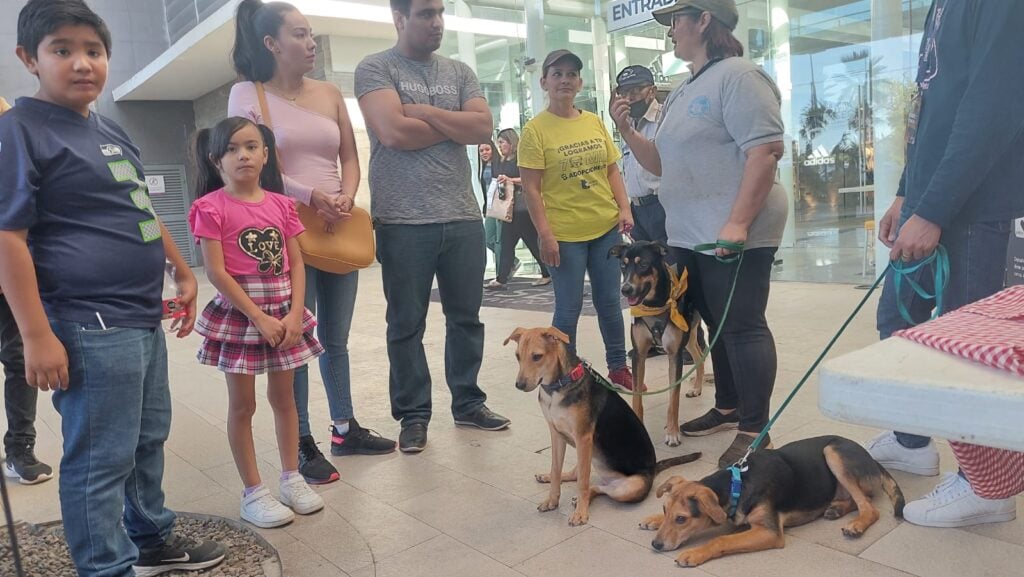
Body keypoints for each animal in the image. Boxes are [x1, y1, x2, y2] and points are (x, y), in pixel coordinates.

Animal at [505, 327, 704, 524]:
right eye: (517, 356)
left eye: (537, 356)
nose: (519, 385)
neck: (556, 388)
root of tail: (654, 469)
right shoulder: (557, 435)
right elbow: (556, 470)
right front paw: (552, 500)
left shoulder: (583, 436)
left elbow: (583, 483)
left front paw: (581, 513)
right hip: (591, 453)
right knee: (580, 476)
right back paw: (552, 479)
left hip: (627, 486)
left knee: (595, 487)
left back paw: (582, 500)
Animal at [606, 239, 704, 446]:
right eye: (623, 266)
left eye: (643, 264)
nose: (625, 289)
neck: (654, 305)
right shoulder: (639, 354)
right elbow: (636, 396)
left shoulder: (675, 355)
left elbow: (673, 399)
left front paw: (673, 433)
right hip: (689, 335)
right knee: (699, 354)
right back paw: (697, 388)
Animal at [638, 436, 905, 565]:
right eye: (665, 509)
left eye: (682, 519)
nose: (656, 545)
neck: (737, 484)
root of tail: (871, 458)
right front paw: (653, 519)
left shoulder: (769, 532)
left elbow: (721, 539)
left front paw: (694, 553)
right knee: (857, 498)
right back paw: (836, 508)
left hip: (833, 452)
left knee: (869, 506)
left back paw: (856, 524)